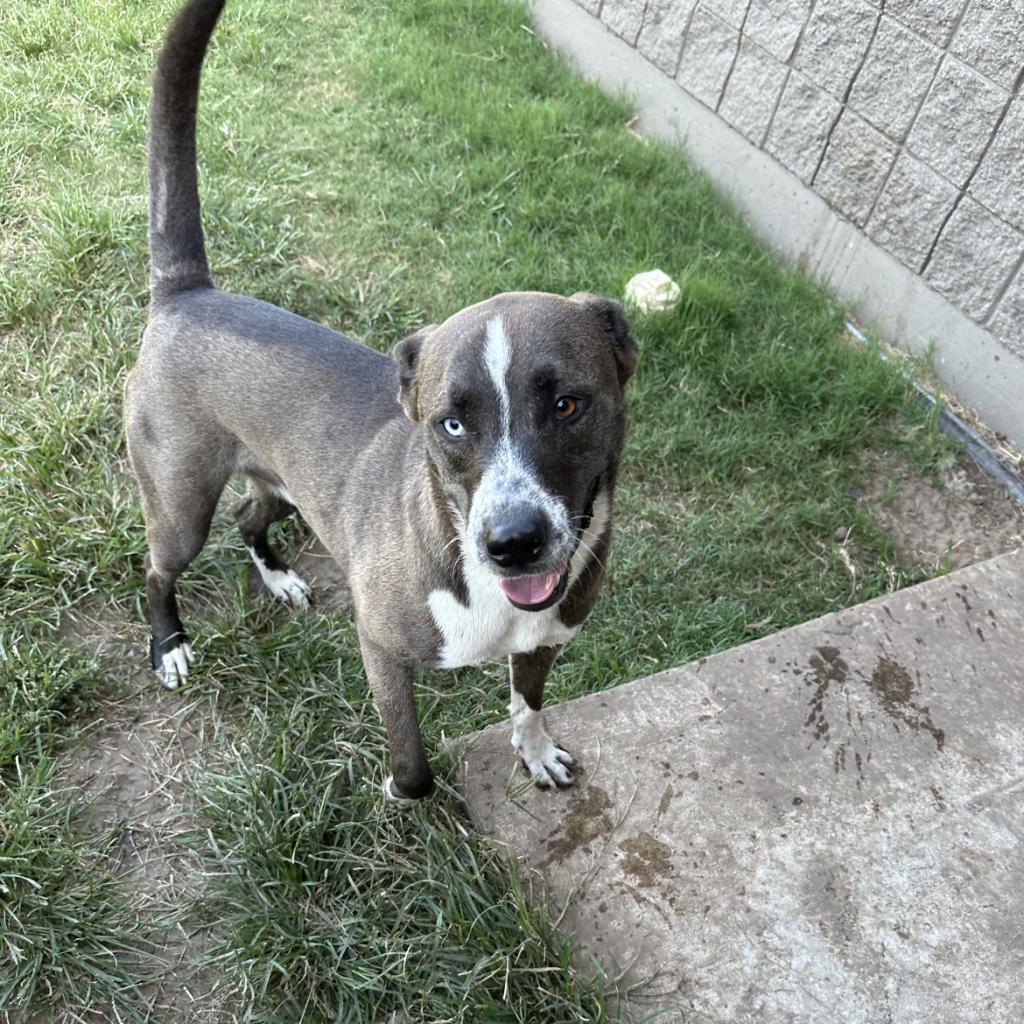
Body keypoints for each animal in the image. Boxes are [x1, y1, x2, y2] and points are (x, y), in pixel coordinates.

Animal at [123, 0, 634, 802]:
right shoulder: (381, 647)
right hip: (178, 503)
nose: (512, 543)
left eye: (567, 406)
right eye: (451, 423)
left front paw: (535, 750)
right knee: (158, 566)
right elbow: (414, 763)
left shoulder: (545, 642)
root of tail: (188, 293)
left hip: (284, 484)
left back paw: (278, 578)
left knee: (248, 515)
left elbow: (527, 702)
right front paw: (400, 792)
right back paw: (168, 646)